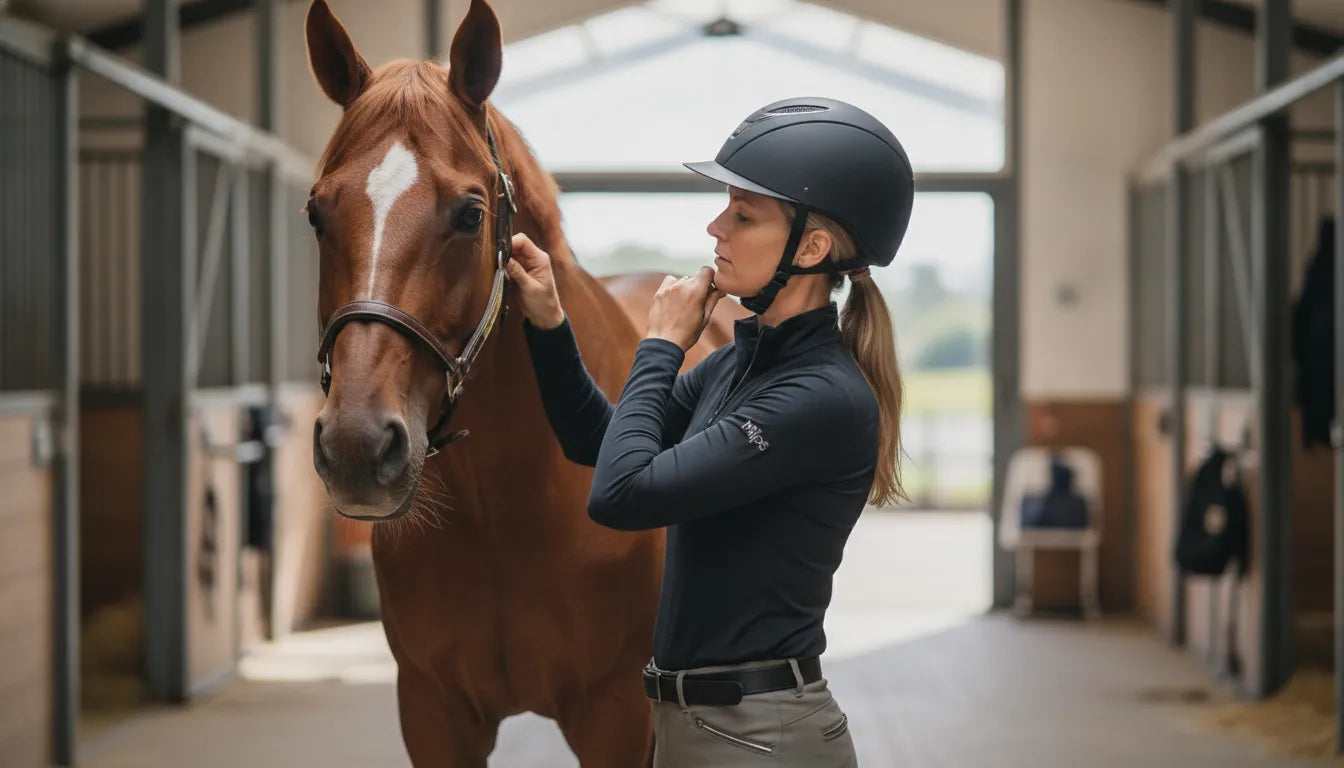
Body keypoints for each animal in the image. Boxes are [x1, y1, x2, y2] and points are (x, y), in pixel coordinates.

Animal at [303, 1, 743, 764]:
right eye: (316, 213)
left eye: (471, 213)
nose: (357, 448)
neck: (504, 509)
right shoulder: (435, 712)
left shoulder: (615, 715)